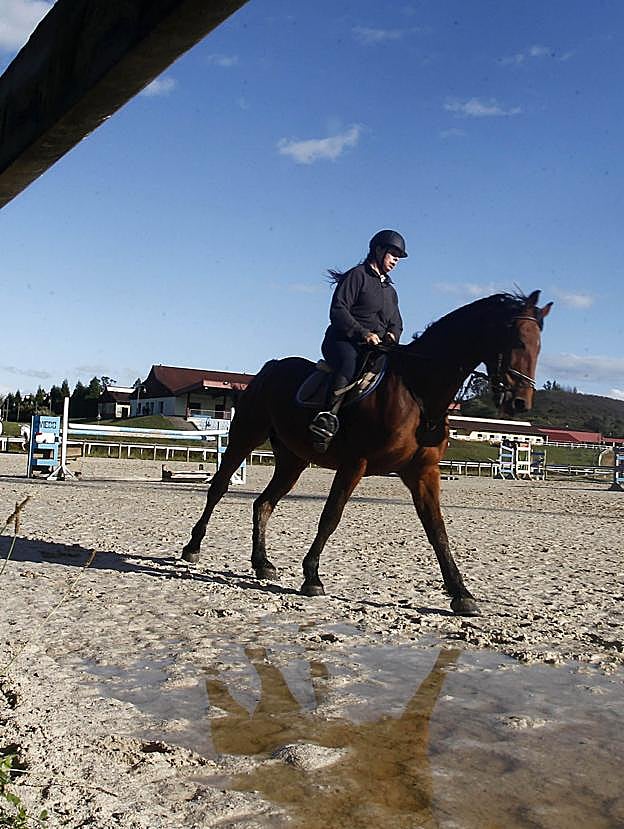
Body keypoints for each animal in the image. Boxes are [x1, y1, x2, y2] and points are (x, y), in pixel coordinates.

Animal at [182, 290, 552, 616]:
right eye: (518, 341)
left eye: (539, 346)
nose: (520, 403)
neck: (418, 391)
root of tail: (271, 367)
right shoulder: (354, 464)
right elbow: (330, 516)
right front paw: (312, 577)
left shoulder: (423, 473)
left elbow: (437, 530)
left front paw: (461, 595)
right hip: (246, 436)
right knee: (219, 488)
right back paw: (192, 548)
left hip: (293, 460)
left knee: (264, 503)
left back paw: (262, 564)